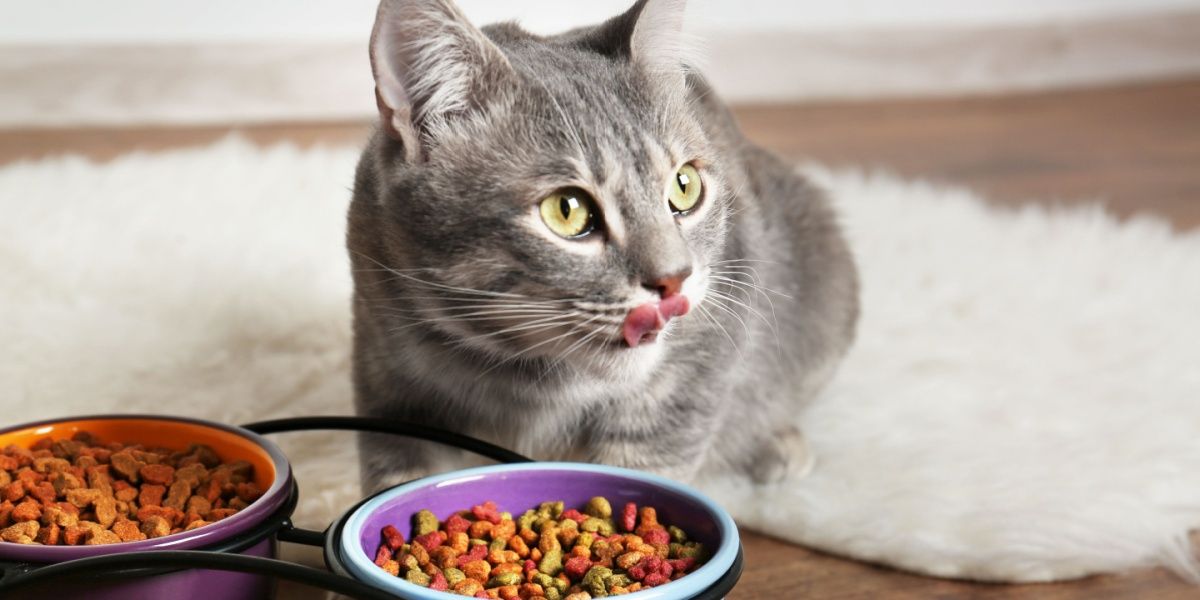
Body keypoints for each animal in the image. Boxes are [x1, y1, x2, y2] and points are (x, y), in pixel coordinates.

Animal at [350, 0, 864, 489]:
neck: (525, 377)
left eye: (685, 187)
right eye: (567, 210)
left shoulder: (693, 365)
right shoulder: (390, 381)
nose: (675, 279)